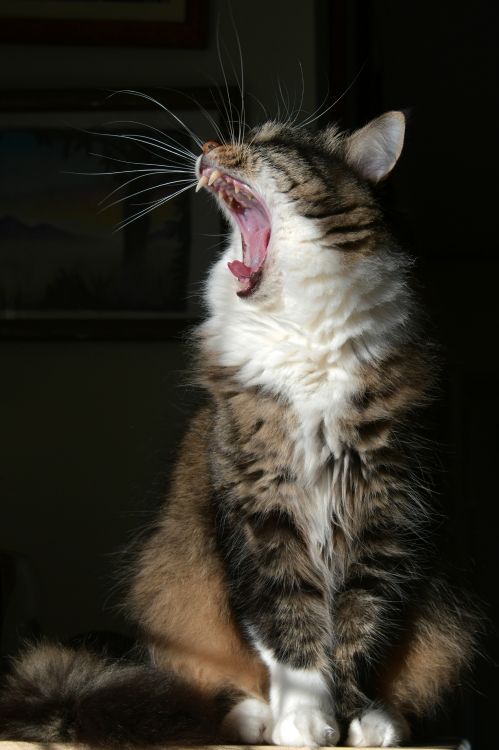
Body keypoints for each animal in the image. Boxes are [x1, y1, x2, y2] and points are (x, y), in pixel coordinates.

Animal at [0, 110, 476, 748]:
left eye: (272, 144)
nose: (208, 145)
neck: (303, 336)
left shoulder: (387, 511)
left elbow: (360, 630)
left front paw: (357, 717)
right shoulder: (259, 508)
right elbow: (287, 628)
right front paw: (305, 720)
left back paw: (386, 719)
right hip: (172, 580)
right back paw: (254, 719)